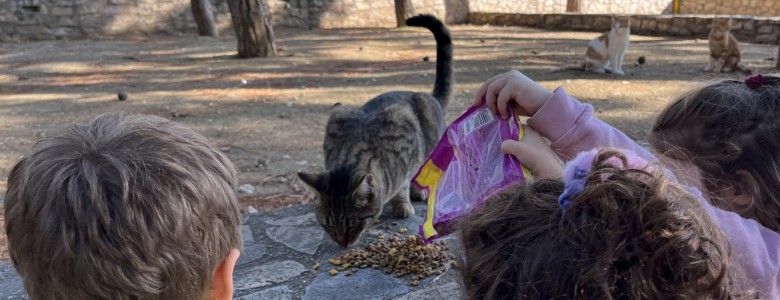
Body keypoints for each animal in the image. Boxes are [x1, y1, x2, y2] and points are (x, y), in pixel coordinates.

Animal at [300, 14, 458, 246]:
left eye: (352, 223)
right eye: (327, 224)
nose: (342, 243)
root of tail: (428, 95)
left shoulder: (406, 135)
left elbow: (403, 184)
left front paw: (402, 203)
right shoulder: (336, 118)